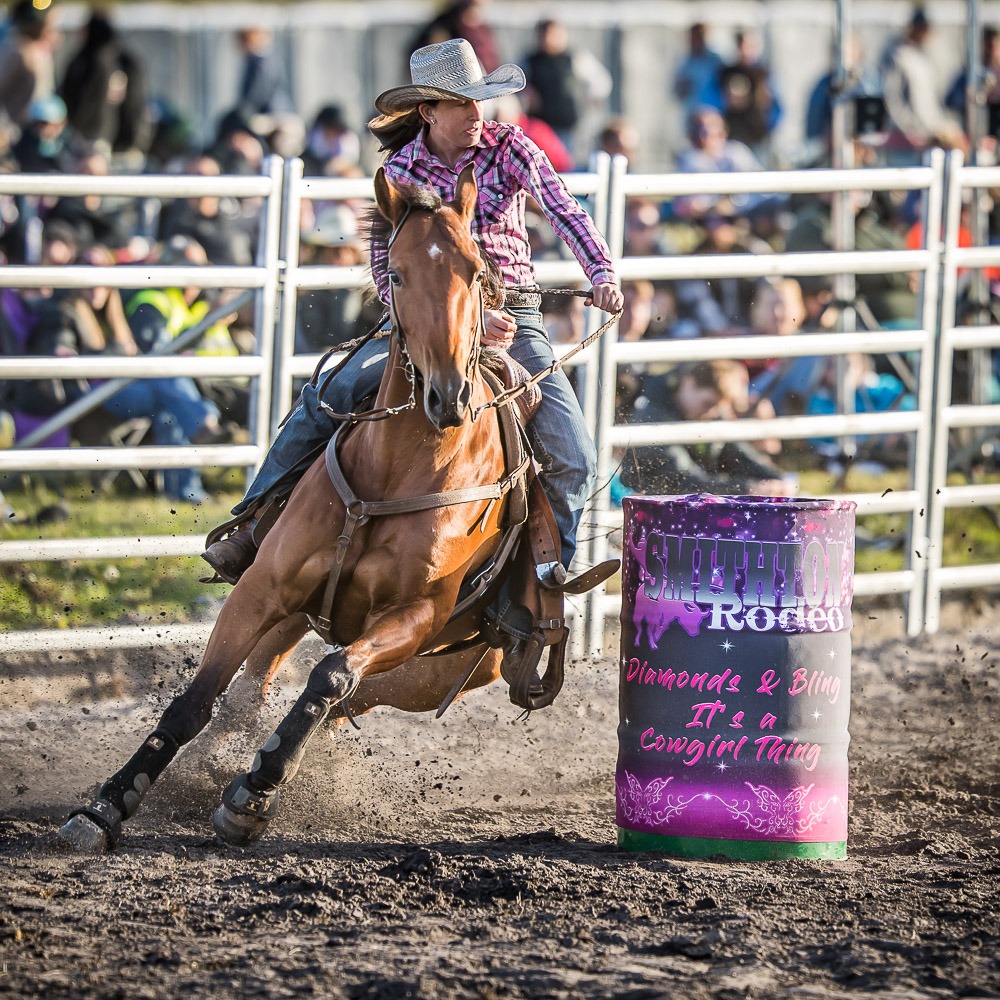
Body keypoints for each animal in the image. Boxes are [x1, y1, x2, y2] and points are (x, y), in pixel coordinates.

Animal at [58, 164, 524, 852]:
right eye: (397, 274)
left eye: (477, 271)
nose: (448, 396)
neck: (396, 470)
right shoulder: (265, 587)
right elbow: (196, 698)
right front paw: (104, 807)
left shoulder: (414, 616)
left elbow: (330, 678)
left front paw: (252, 796)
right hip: (299, 608)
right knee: (253, 691)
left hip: (435, 674)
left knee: (344, 697)